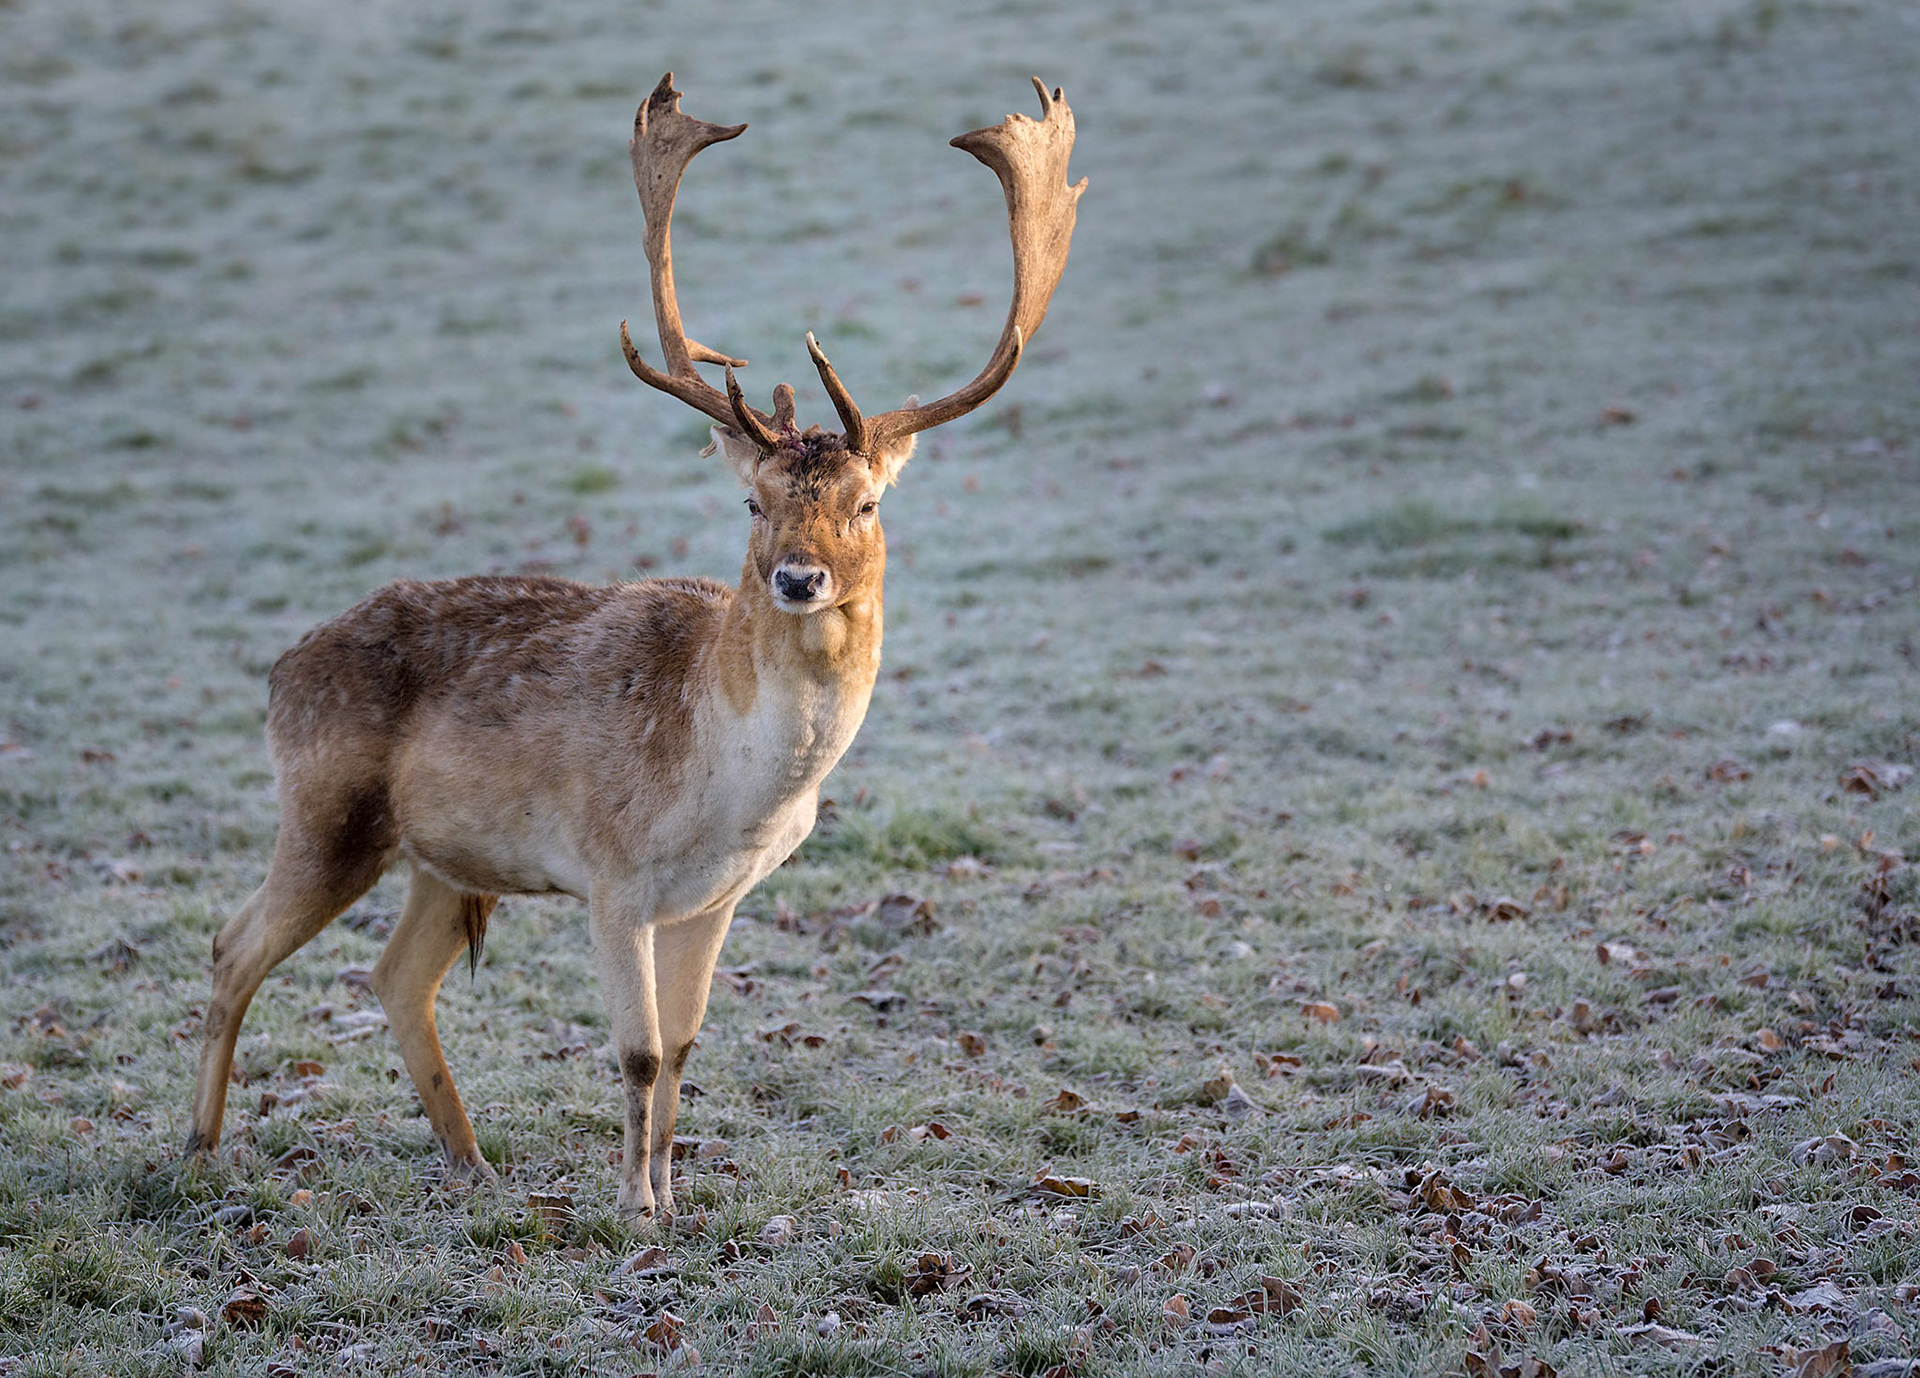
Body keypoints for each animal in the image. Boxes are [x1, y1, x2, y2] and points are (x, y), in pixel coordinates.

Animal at [184, 73, 1084, 1218]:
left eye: (868, 502)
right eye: (752, 503)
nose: (799, 578)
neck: (731, 792)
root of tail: (279, 670)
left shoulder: (716, 898)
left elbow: (689, 1044)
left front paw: (670, 1194)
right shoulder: (609, 876)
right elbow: (641, 1051)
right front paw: (634, 1207)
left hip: (445, 857)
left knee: (394, 973)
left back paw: (474, 1164)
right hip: (325, 811)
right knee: (233, 945)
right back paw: (200, 1150)